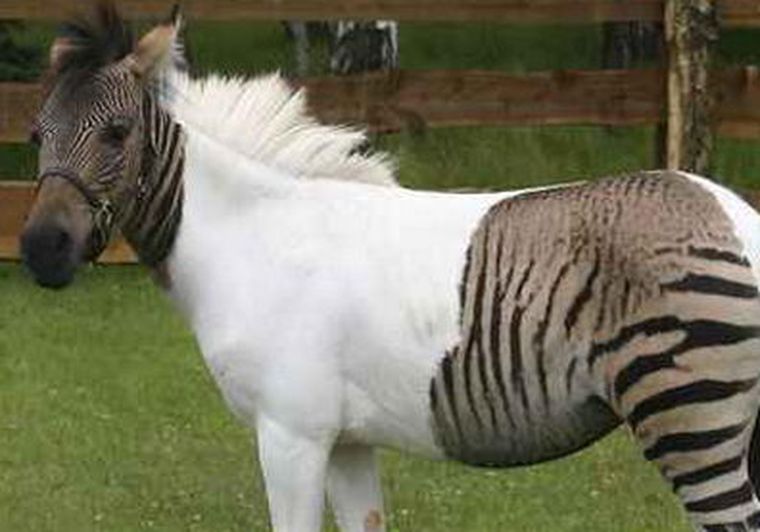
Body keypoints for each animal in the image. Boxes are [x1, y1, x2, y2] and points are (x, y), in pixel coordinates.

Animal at [19, 4, 760, 531]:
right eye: (34, 134)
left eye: (117, 134)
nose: (40, 250)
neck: (254, 239)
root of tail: (730, 209)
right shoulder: (346, 440)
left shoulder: (290, 434)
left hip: (691, 418)